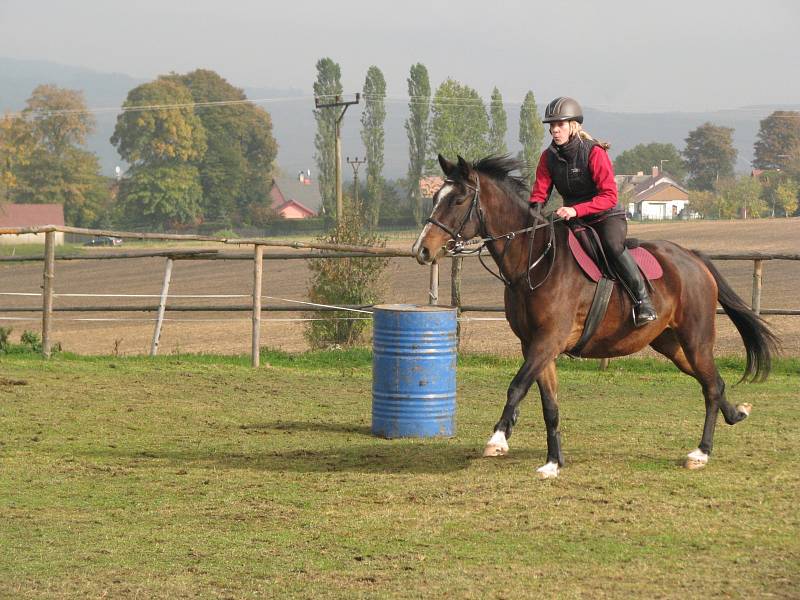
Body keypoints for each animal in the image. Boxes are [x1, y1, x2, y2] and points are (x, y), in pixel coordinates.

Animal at [416, 155, 780, 478]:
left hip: (696, 339)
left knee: (711, 386)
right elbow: (550, 406)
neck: (535, 262)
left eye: (458, 199)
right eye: (434, 198)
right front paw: (553, 463)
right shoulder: (535, 346)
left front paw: (498, 439)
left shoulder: (548, 341)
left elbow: (517, 386)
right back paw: (736, 413)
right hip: (670, 345)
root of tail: (693, 258)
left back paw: (701, 453)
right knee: (712, 381)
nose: (422, 250)